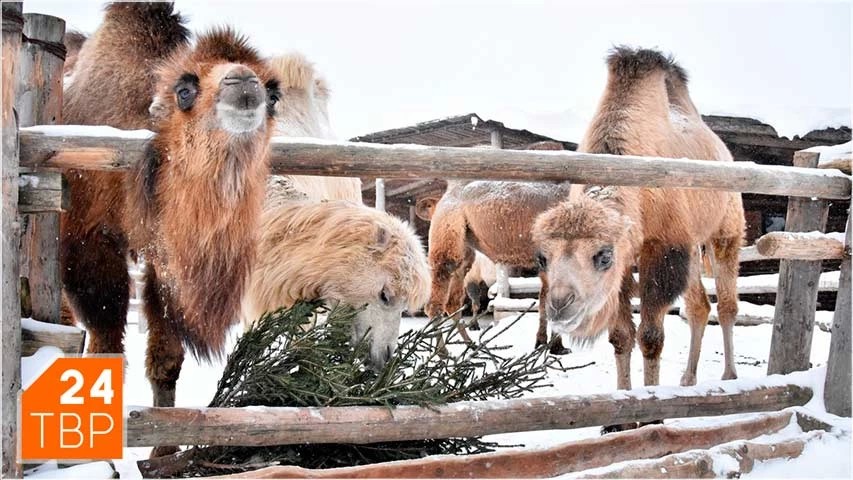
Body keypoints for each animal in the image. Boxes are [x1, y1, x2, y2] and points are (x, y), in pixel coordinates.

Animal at [424, 174, 572, 354]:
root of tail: (448, 192)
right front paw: (556, 347)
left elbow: (545, 299)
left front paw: (545, 344)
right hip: (448, 224)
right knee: (440, 283)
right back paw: (443, 353)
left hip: (464, 244)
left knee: (453, 299)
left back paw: (470, 344)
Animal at [528, 48, 744, 402]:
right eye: (541, 257)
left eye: (603, 255)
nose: (559, 305)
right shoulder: (629, 265)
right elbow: (620, 337)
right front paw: (622, 403)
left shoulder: (661, 249)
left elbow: (650, 337)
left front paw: (650, 402)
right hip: (692, 247)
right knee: (698, 305)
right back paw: (688, 378)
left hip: (725, 230)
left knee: (727, 303)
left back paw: (729, 376)